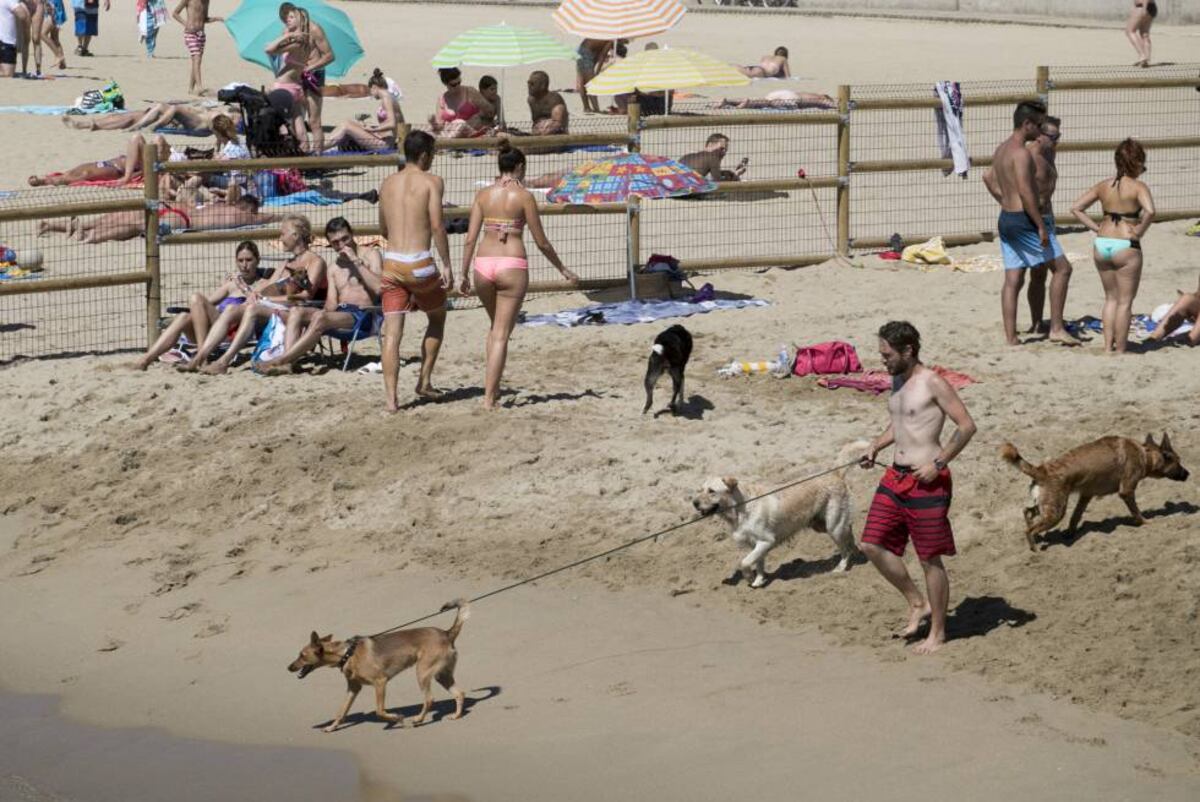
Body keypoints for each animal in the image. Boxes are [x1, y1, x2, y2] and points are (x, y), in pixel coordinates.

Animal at [288, 597, 470, 729]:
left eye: (301, 655)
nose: (288, 667)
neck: (346, 653)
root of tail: (447, 634)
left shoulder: (380, 682)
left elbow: (379, 711)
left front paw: (396, 718)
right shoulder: (353, 689)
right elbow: (341, 711)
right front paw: (332, 727)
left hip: (422, 673)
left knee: (430, 699)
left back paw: (419, 719)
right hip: (441, 675)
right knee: (459, 694)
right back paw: (456, 715)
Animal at [998, 432, 1185, 552]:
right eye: (1178, 461)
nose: (1188, 474)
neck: (1145, 453)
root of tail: (1041, 470)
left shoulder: (1086, 495)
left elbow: (1075, 517)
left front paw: (1070, 533)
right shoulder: (1127, 491)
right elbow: (1136, 512)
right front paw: (1145, 522)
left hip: (1046, 507)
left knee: (1027, 512)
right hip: (1055, 513)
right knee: (1029, 530)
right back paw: (1035, 550)